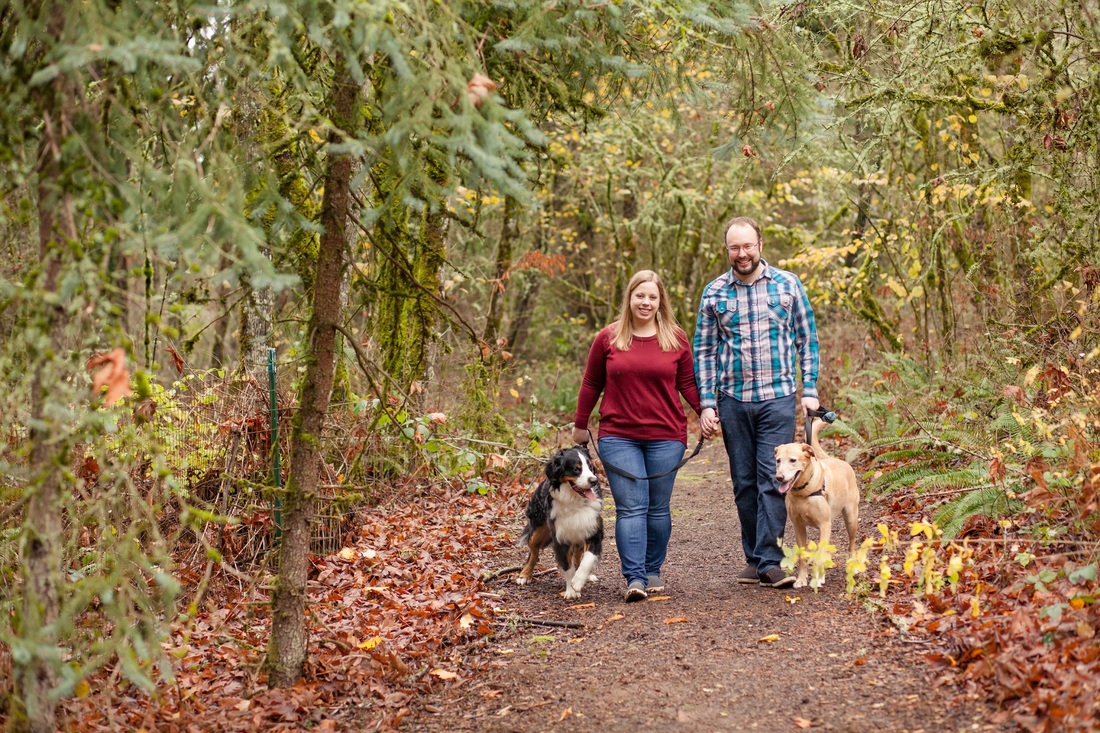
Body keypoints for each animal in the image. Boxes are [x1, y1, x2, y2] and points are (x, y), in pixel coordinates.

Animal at [514, 442, 602, 598]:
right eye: (576, 469)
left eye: (590, 467)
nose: (594, 480)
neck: (575, 502)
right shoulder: (560, 536)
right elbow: (567, 567)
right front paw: (571, 591)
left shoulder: (593, 530)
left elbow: (588, 558)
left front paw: (578, 581)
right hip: (538, 529)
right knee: (533, 552)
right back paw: (524, 575)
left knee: (579, 555)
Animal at [774, 416, 858, 589]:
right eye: (778, 461)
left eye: (793, 460)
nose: (779, 477)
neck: (803, 492)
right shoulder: (798, 527)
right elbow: (802, 556)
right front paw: (801, 579)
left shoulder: (825, 525)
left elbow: (819, 553)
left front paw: (817, 578)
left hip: (851, 518)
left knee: (852, 543)